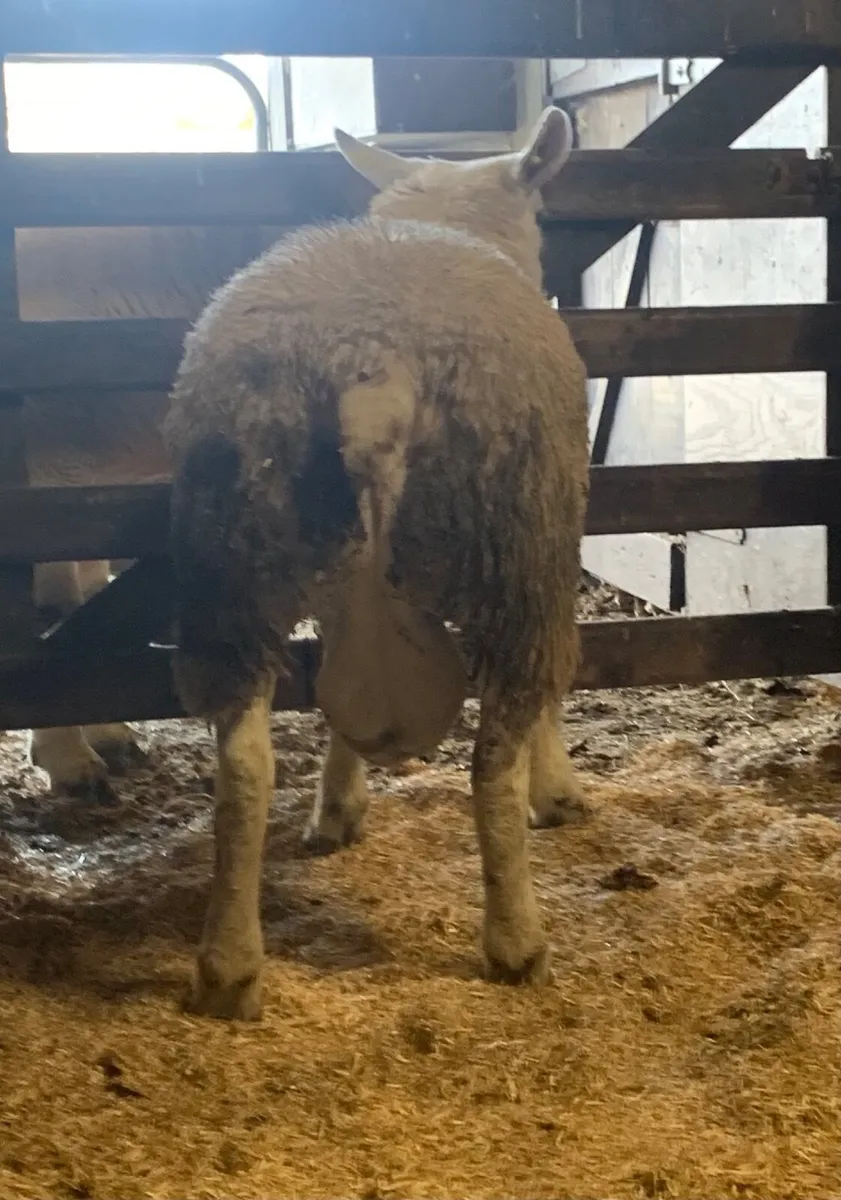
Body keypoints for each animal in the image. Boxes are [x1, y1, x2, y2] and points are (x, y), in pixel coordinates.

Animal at [165, 106, 591, 1020]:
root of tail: (375, 367)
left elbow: (342, 699)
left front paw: (337, 806)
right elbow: (546, 710)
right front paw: (559, 790)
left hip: (233, 564)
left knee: (242, 764)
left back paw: (228, 967)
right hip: (518, 544)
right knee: (490, 758)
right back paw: (516, 942)